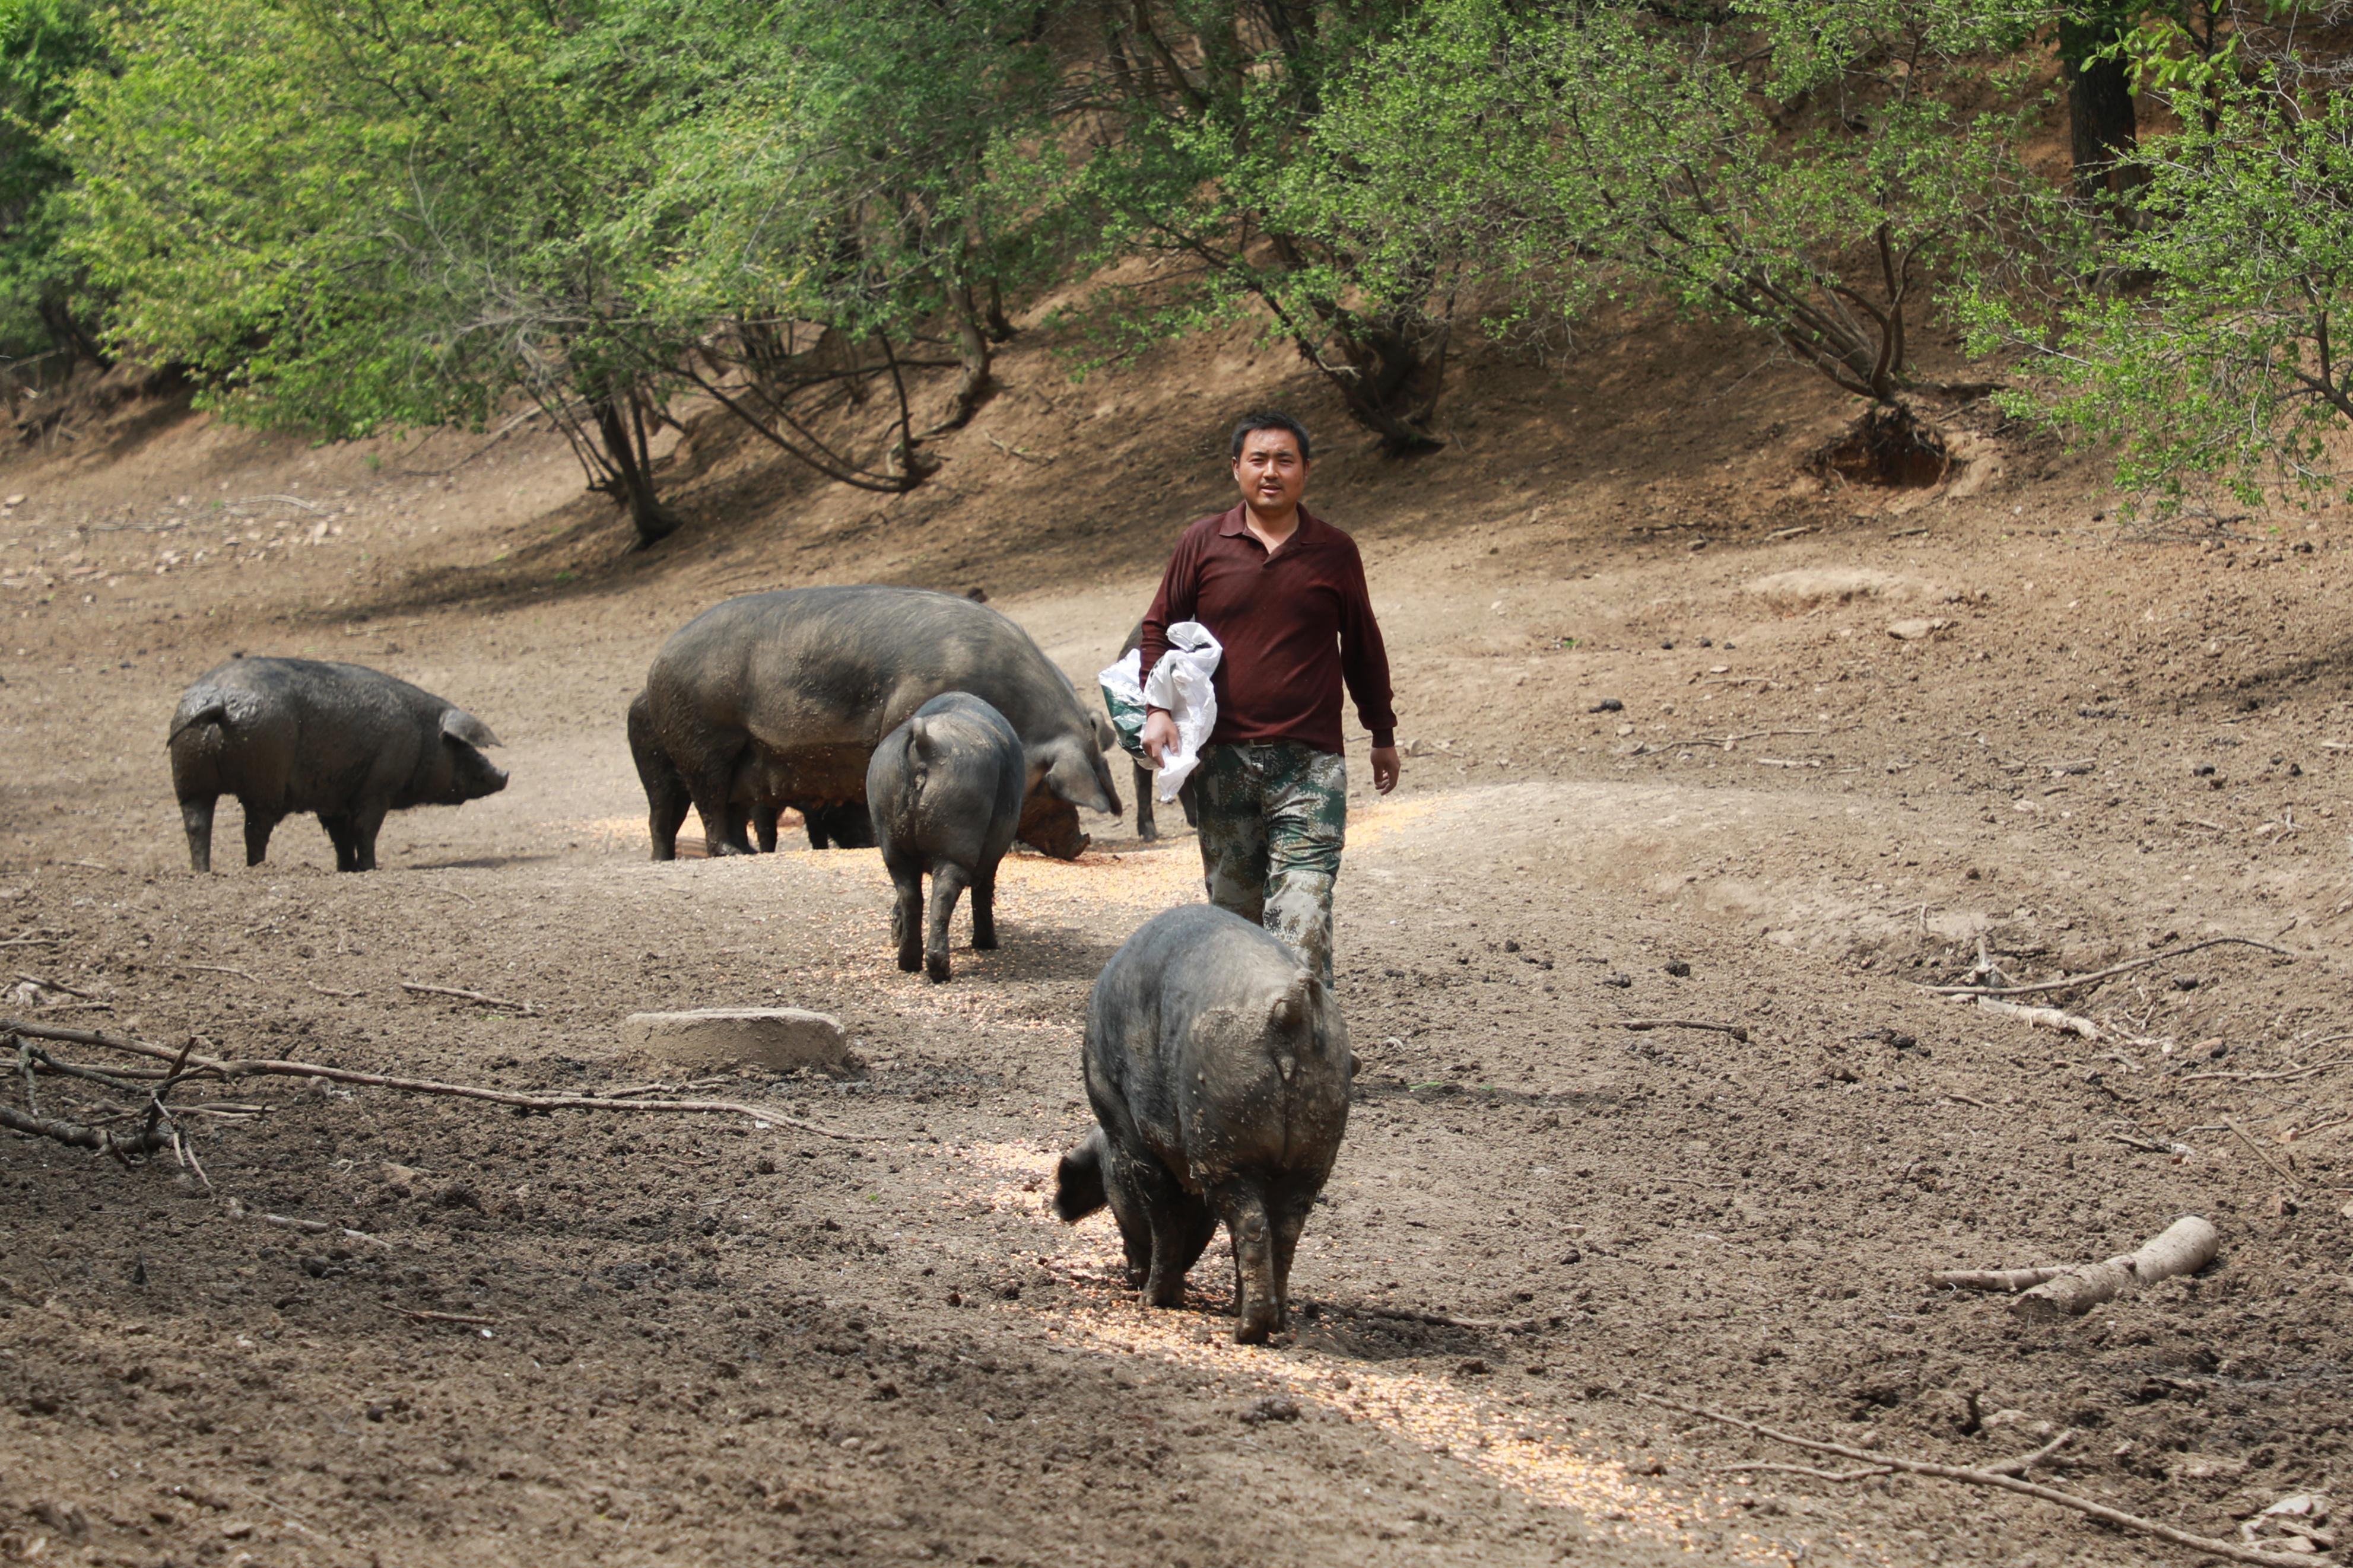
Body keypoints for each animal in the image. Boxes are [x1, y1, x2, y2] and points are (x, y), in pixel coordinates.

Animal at [170, 648, 510, 870]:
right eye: (462, 748)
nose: (505, 776)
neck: (422, 734)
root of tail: (218, 701)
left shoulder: (333, 797)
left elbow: (341, 836)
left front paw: (346, 869)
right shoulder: (378, 787)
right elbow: (365, 830)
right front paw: (370, 868)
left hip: (188, 776)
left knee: (196, 823)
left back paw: (202, 872)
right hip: (263, 777)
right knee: (254, 829)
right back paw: (257, 867)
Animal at [630, 585, 1115, 860]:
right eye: (1049, 787)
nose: (1080, 842)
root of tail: (658, 660)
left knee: (715, 808)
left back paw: (744, 852)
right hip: (701, 740)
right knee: (704, 803)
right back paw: (727, 854)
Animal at [856, 695, 1021, 982]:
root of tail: (925, 744)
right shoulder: (992, 855)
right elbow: (984, 892)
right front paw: (988, 945)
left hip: (891, 835)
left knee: (910, 894)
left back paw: (908, 962)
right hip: (957, 839)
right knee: (944, 895)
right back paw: (942, 970)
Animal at [1059, 907, 1355, 1354]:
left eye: (1111, 1195)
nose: (1130, 1275)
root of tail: (1291, 1007)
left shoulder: (1127, 1128)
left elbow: (1162, 1211)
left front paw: (1155, 1300)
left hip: (1224, 1141)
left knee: (1250, 1223)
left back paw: (1247, 1330)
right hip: (1315, 1147)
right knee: (1283, 1229)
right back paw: (1274, 1320)